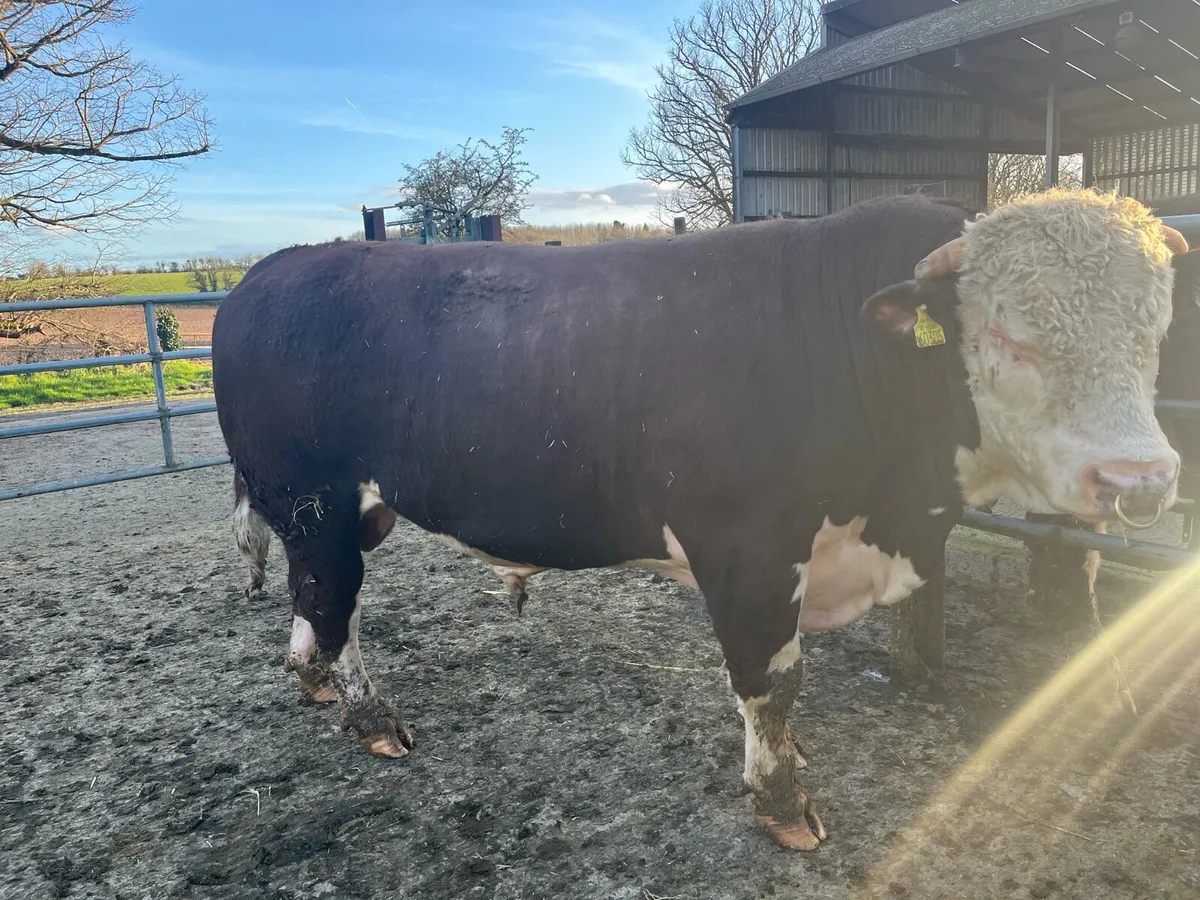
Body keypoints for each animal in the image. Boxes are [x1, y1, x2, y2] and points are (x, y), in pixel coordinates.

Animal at [211, 189, 1189, 851]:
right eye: (1010, 336)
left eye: (1154, 334)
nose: (1140, 479)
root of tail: (269, 270)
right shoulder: (748, 551)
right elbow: (773, 683)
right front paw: (784, 804)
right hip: (314, 498)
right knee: (334, 604)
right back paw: (371, 717)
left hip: (342, 512)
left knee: (314, 601)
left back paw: (313, 680)